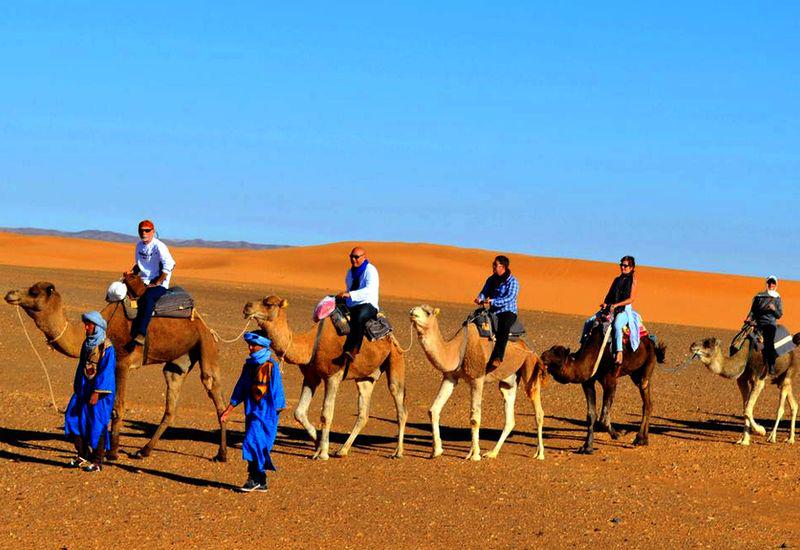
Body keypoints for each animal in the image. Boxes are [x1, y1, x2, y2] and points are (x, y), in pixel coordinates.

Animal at [5, 282, 228, 464]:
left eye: (34, 291)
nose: (10, 293)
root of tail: (203, 323)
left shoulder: (121, 362)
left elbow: (118, 408)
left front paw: (112, 453)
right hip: (178, 361)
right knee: (171, 399)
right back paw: (143, 451)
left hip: (205, 345)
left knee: (216, 395)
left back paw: (221, 454)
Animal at [241, 298, 406, 462]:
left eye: (268, 304)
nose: (247, 306)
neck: (309, 344)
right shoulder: (311, 377)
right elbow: (299, 412)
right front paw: (317, 445)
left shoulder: (332, 376)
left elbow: (326, 414)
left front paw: (323, 453)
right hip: (365, 377)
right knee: (363, 413)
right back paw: (342, 450)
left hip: (395, 357)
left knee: (399, 403)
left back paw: (397, 452)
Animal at [410, 306, 548, 462]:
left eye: (427, 312)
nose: (412, 313)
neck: (457, 349)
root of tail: (530, 347)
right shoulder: (450, 377)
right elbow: (433, 410)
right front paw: (436, 451)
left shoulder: (477, 378)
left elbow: (475, 418)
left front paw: (475, 455)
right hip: (509, 380)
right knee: (510, 417)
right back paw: (492, 453)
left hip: (530, 366)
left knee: (538, 412)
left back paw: (540, 454)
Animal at [540, 322, 664, 454]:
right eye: (550, 349)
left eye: (558, 353)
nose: (542, 356)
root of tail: (652, 343)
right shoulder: (588, 382)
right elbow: (591, 415)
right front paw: (587, 447)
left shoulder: (610, 380)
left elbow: (604, 416)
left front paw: (616, 434)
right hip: (635, 374)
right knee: (648, 403)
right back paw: (643, 439)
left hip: (647, 366)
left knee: (645, 392)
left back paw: (639, 438)